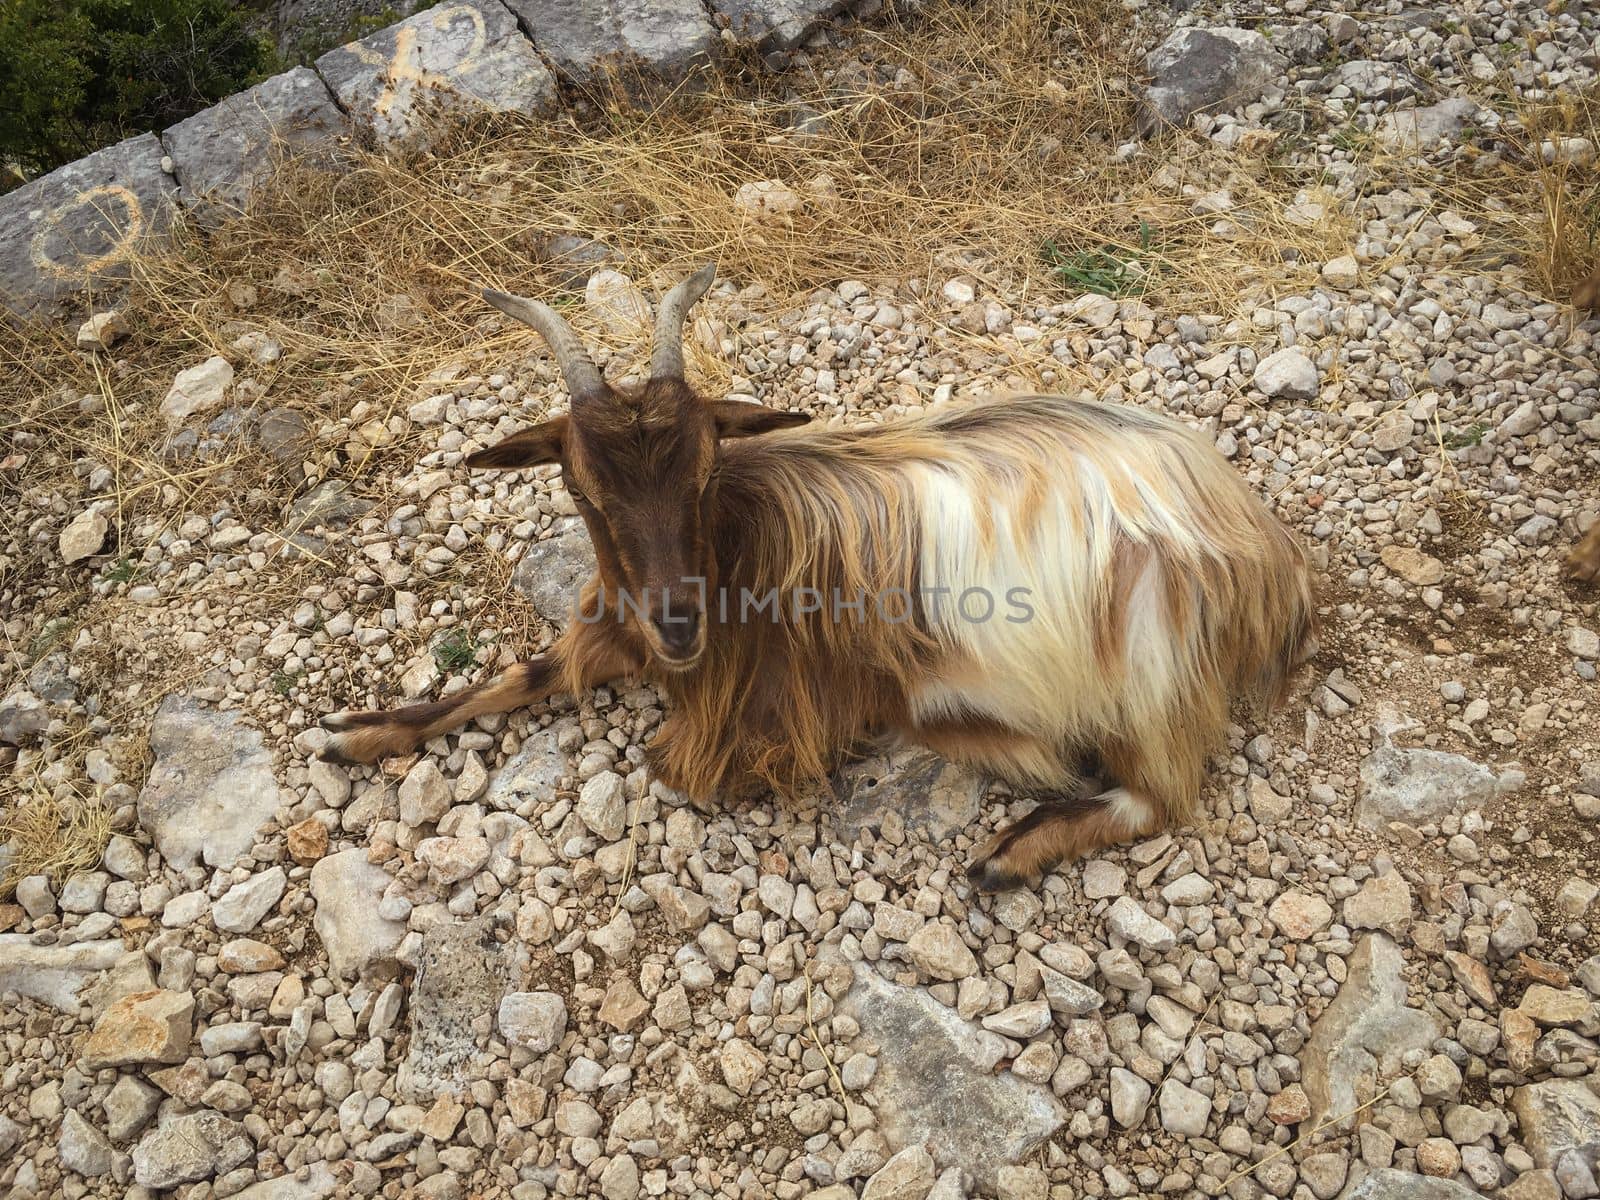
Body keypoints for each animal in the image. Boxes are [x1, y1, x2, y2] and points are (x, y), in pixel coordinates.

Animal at [321, 267, 1312, 896]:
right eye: (580, 488)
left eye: (705, 470)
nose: (681, 627)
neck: (734, 550)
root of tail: (1269, 549)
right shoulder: (622, 623)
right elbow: (517, 675)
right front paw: (358, 734)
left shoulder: (770, 707)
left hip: (1151, 655)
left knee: (1160, 794)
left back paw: (1008, 850)